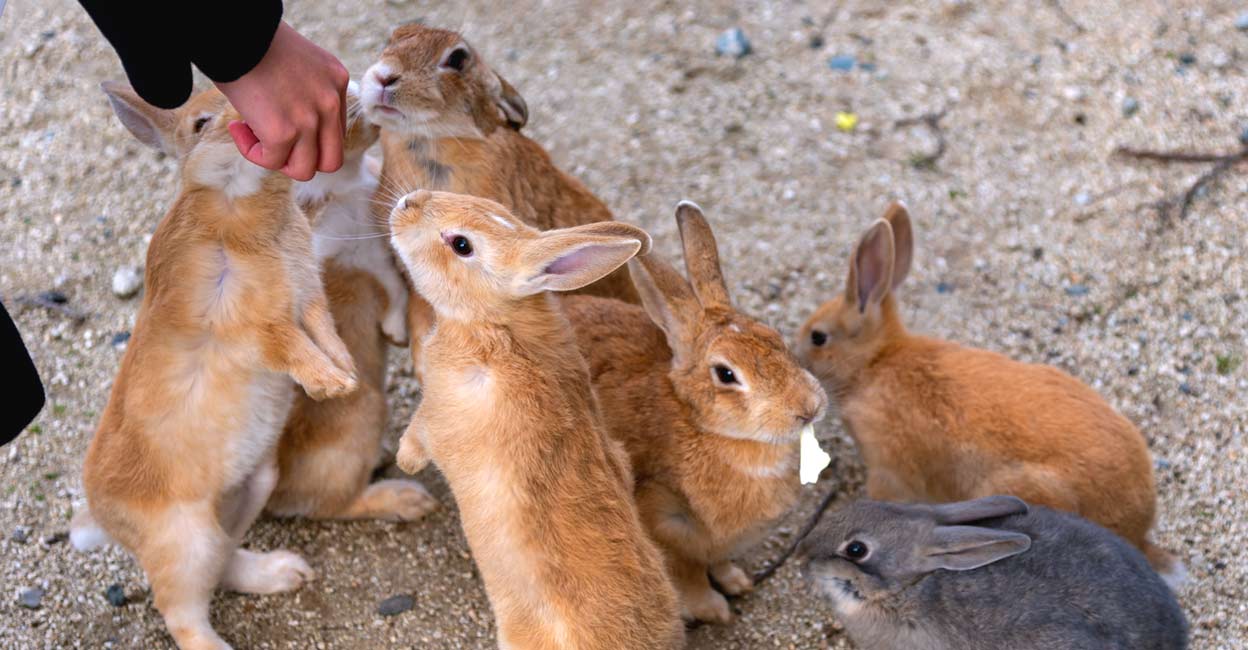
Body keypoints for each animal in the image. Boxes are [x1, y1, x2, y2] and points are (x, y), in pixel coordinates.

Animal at [70, 83, 356, 650]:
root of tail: (102, 516)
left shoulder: (308, 299)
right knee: (183, 610)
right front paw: (332, 385)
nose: (250, 119)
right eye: (200, 123)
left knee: (224, 561)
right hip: (188, 541)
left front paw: (346, 373)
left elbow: (323, 332)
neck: (237, 205)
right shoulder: (251, 327)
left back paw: (285, 573)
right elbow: (291, 346)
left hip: (252, 489)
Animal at [266, 82, 436, 523]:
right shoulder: (364, 259)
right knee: (337, 505)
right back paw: (409, 500)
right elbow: (390, 287)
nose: (357, 89)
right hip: (369, 413)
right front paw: (396, 334)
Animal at [388, 189, 684, 649]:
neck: (496, 323)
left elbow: (419, 433)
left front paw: (405, 462)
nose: (406, 203)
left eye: (461, 244)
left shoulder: (436, 410)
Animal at [561, 201, 828, 624]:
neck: (706, 428)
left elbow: (719, 563)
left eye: (775, 338)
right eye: (726, 374)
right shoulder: (664, 523)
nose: (808, 407)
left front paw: (738, 582)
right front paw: (716, 611)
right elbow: (690, 576)